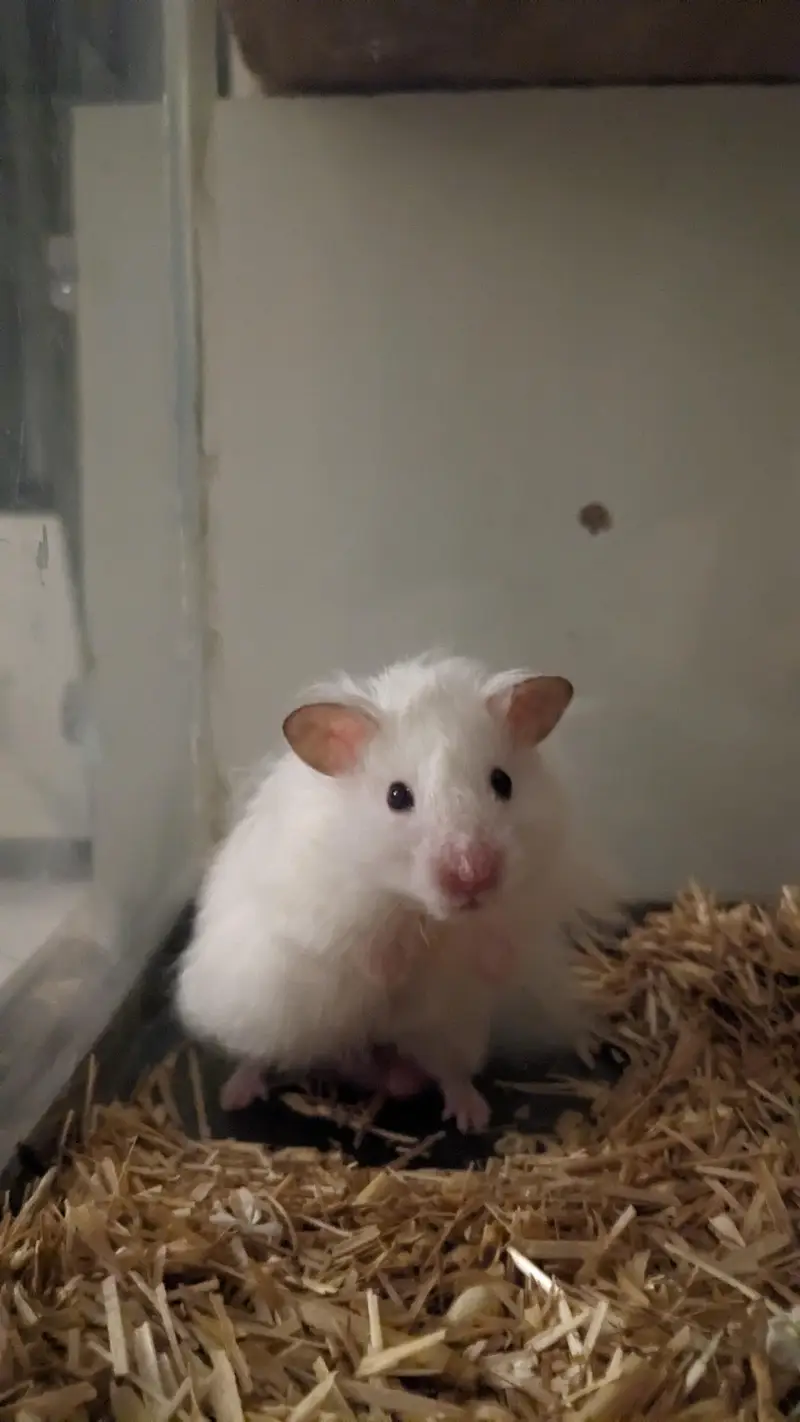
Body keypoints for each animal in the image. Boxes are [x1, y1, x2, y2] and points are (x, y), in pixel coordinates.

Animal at [175, 652, 611, 1132]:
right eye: (397, 796)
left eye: (502, 782)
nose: (473, 876)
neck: (422, 911)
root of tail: (365, 1061)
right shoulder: (326, 911)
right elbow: (365, 951)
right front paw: (391, 971)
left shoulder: (519, 905)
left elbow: (494, 945)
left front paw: (484, 960)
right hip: (264, 1014)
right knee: (258, 1056)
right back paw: (236, 1094)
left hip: (449, 1029)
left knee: (449, 1073)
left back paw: (462, 1111)